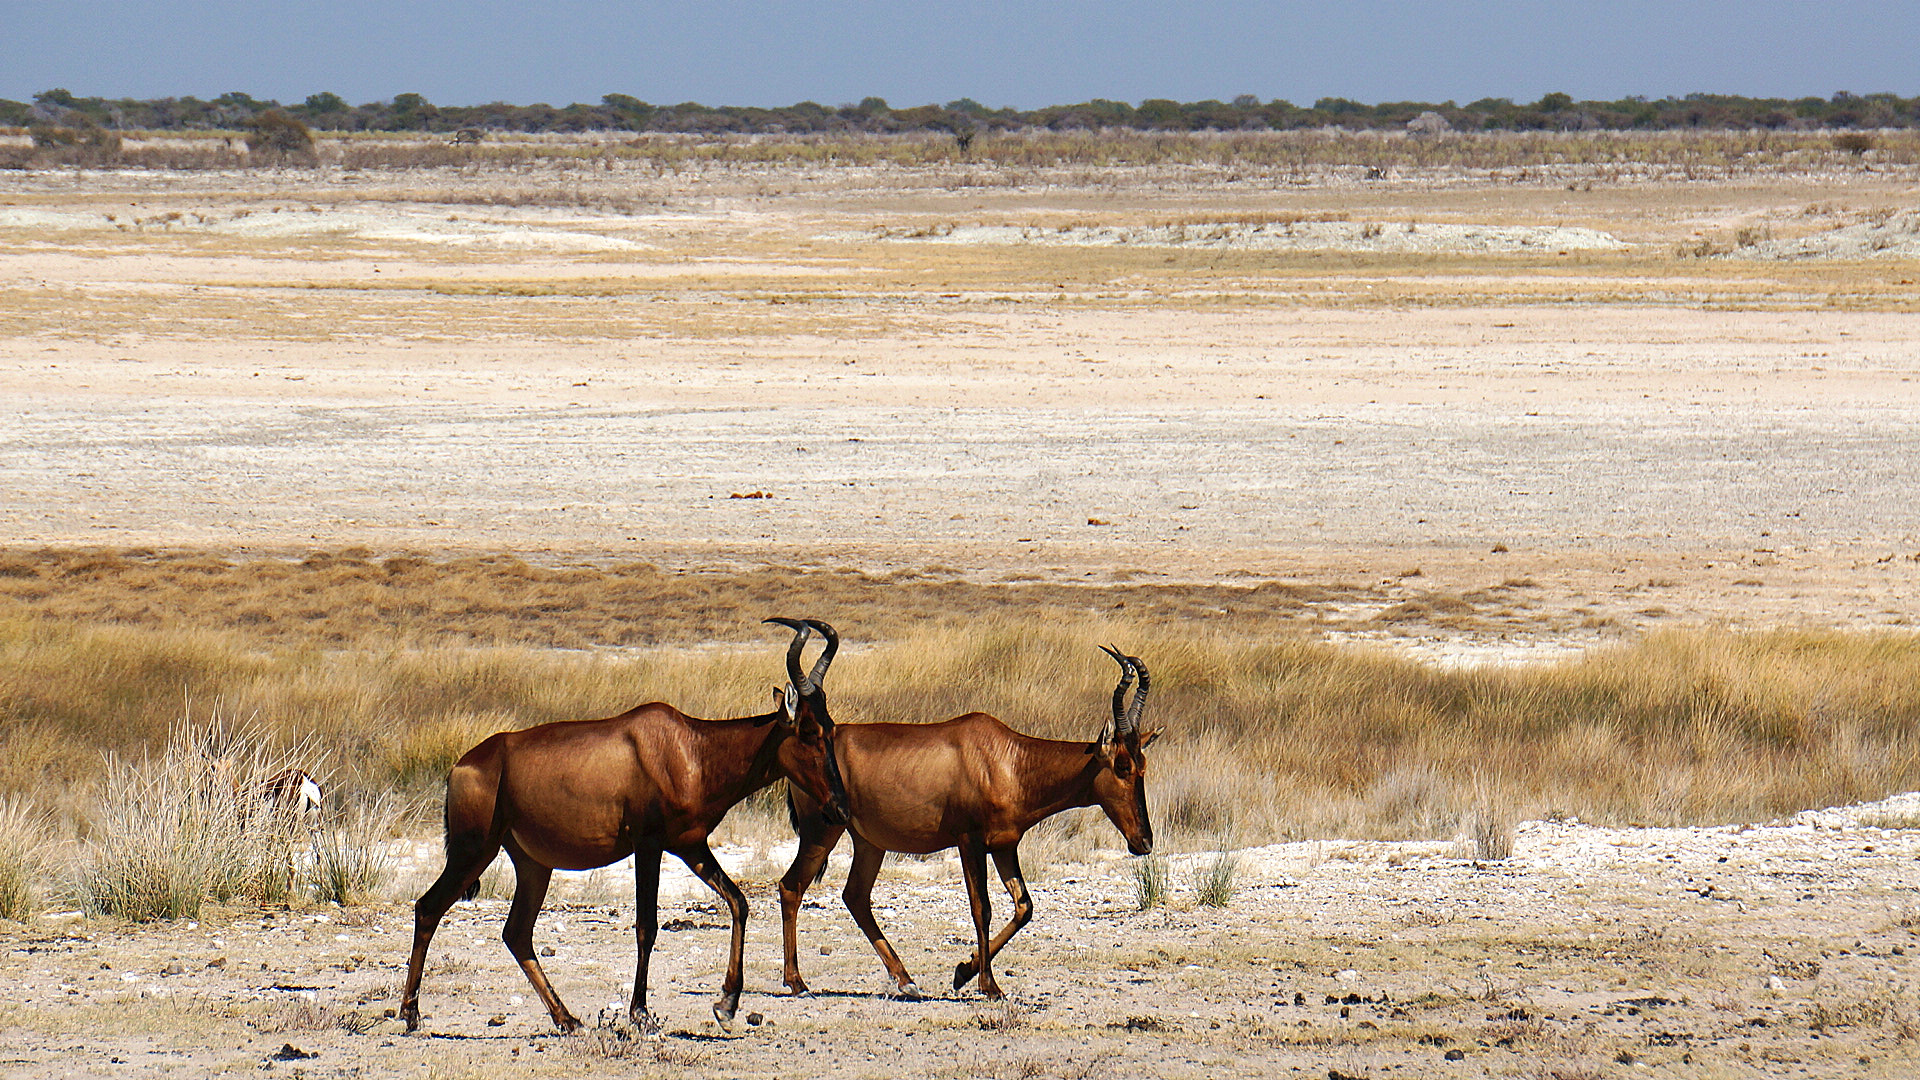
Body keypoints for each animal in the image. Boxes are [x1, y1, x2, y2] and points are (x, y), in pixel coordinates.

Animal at [397, 614, 848, 1022]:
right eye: (807, 730)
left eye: (830, 726)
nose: (839, 807)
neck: (689, 748)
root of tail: (462, 765)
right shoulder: (648, 846)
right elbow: (646, 925)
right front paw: (640, 1013)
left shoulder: (691, 847)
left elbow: (738, 902)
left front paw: (726, 1004)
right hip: (474, 851)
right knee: (428, 907)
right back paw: (411, 1013)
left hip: (532, 863)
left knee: (516, 933)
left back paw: (567, 1019)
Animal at [775, 641, 1152, 999]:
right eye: (1122, 765)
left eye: (1143, 765)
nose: (1144, 842)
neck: (1006, 759)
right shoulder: (969, 842)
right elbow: (981, 908)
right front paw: (989, 985)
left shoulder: (1004, 846)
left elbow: (1024, 907)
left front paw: (963, 971)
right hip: (822, 831)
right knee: (792, 886)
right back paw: (797, 982)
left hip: (869, 842)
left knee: (855, 896)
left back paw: (906, 982)